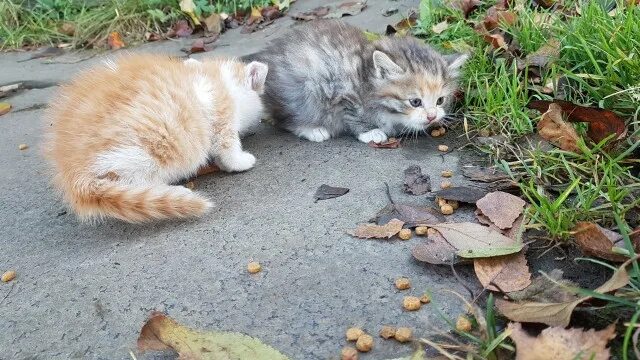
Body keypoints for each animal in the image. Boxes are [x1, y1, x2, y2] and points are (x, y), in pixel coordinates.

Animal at [45, 54, 268, 222]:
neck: (220, 79)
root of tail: (72, 169)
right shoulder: (221, 112)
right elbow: (226, 143)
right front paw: (239, 162)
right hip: (158, 141)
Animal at [252, 20, 468, 143]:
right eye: (415, 102)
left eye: (440, 100)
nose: (432, 116)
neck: (364, 75)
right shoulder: (339, 90)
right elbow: (353, 114)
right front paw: (369, 132)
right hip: (300, 91)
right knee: (285, 119)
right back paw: (313, 129)